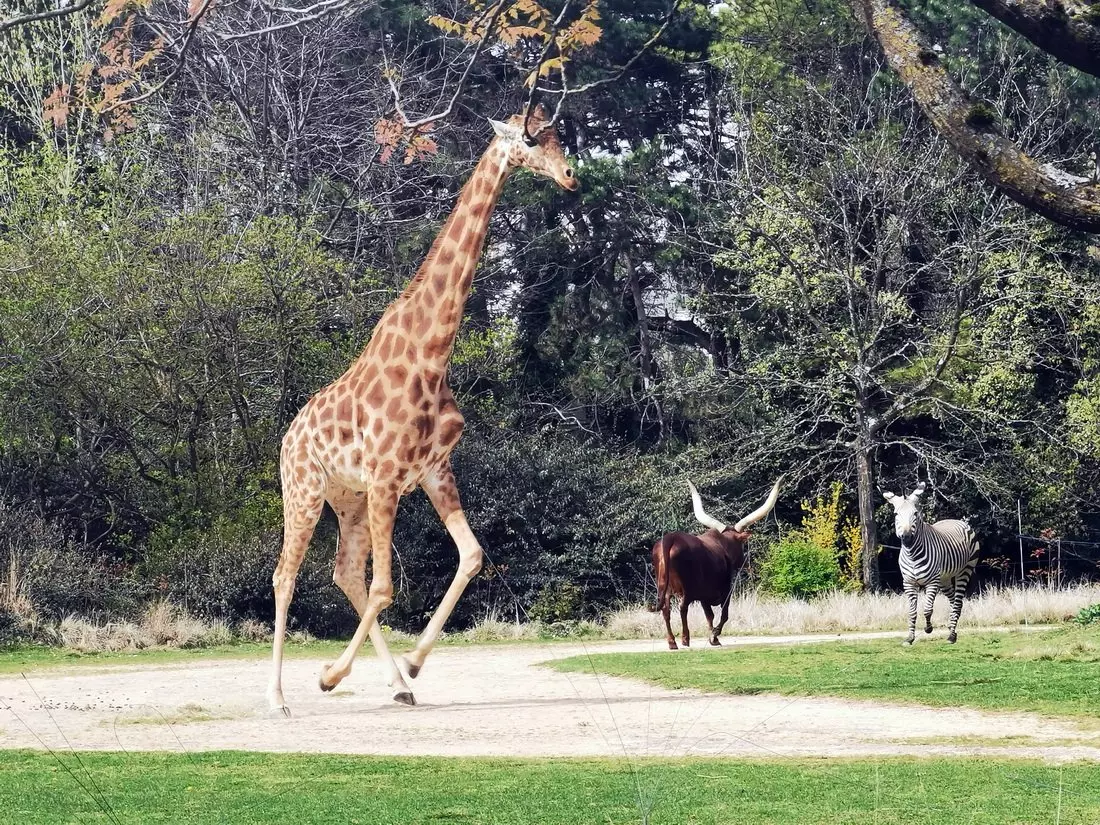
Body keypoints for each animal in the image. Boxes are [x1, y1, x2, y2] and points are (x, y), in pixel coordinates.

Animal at [267, 106, 578, 716]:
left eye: (558, 134)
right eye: (531, 140)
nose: (571, 176)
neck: (433, 353)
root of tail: (288, 437)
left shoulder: (433, 470)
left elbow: (472, 556)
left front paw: (409, 665)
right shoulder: (389, 476)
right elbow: (387, 587)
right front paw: (332, 675)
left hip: (348, 499)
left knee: (344, 572)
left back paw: (397, 684)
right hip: (305, 490)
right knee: (286, 576)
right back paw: (280, 697)